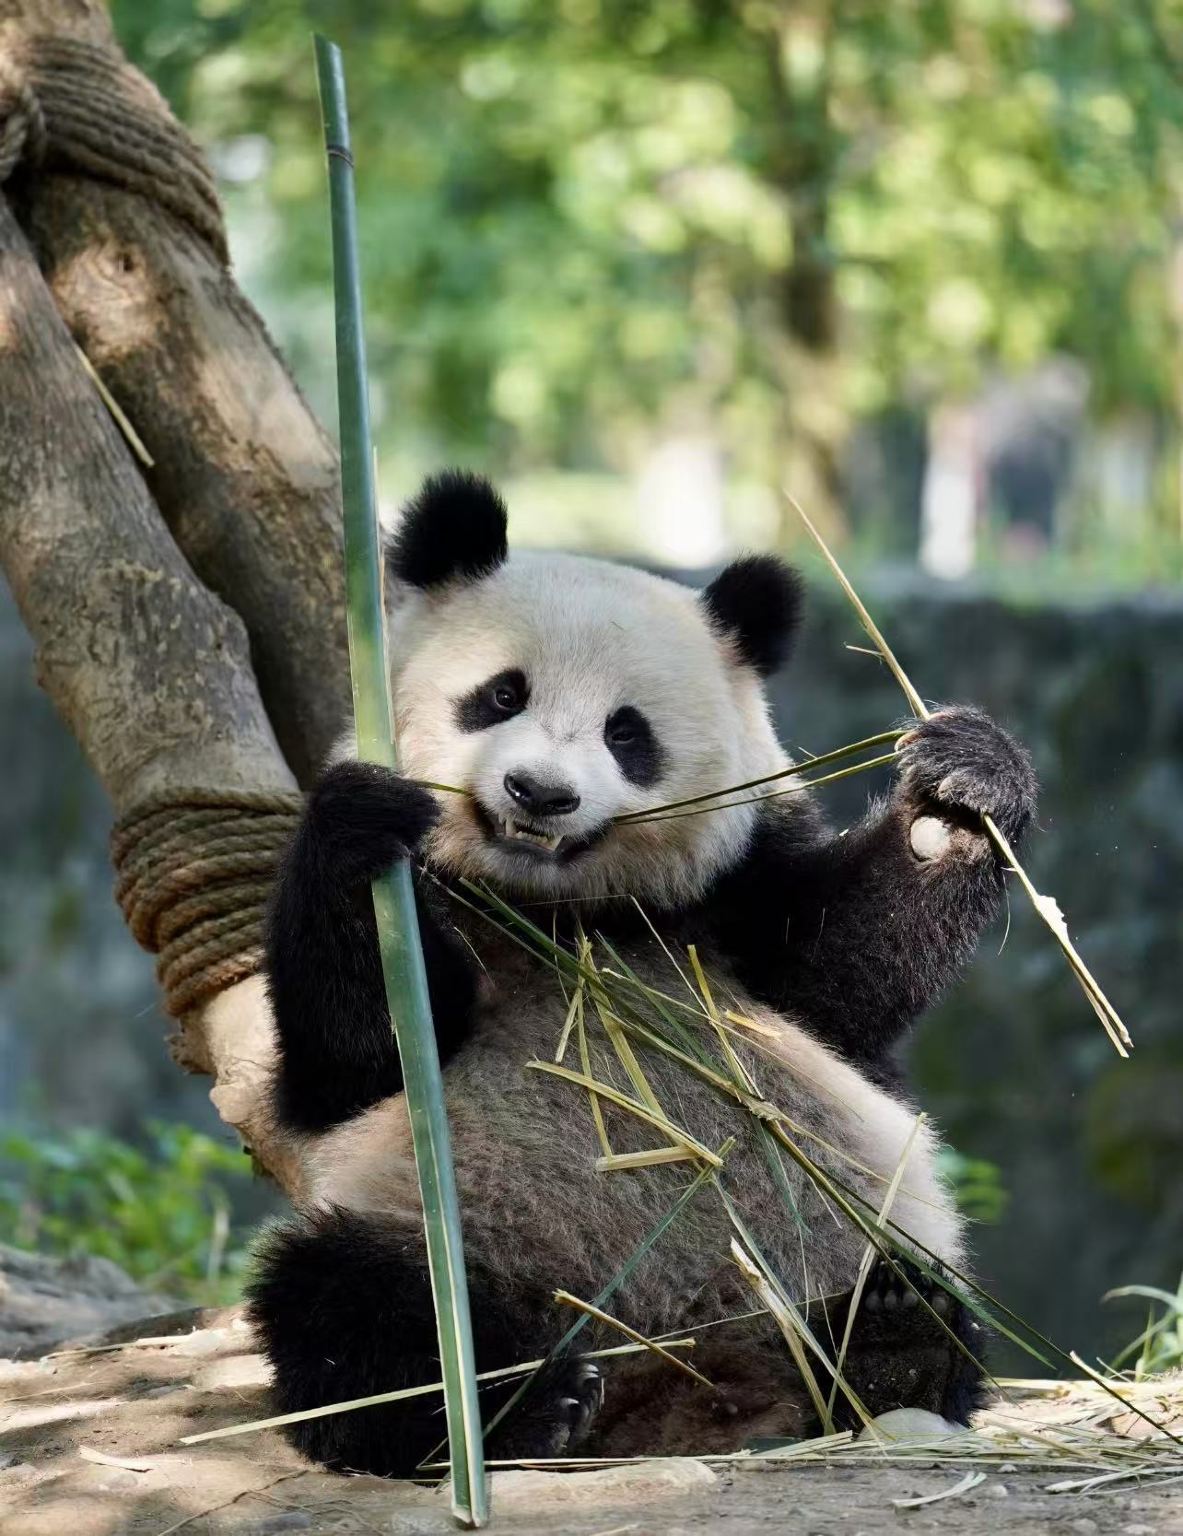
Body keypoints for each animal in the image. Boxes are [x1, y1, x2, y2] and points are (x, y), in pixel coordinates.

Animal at [247, 470, 1038, 1477]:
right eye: (499, 695)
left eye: (627, 734)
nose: (539, 794)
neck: (561, 911)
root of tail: (670, 1391)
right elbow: (351, 1059)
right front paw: (359, 831)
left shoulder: (736, 900)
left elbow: (847, 976)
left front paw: (958, 792)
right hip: (437, 1225)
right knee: (358, 1307)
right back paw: (526, 1405)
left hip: (840, 1234)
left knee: (917, 1295)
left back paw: (892, 1341)